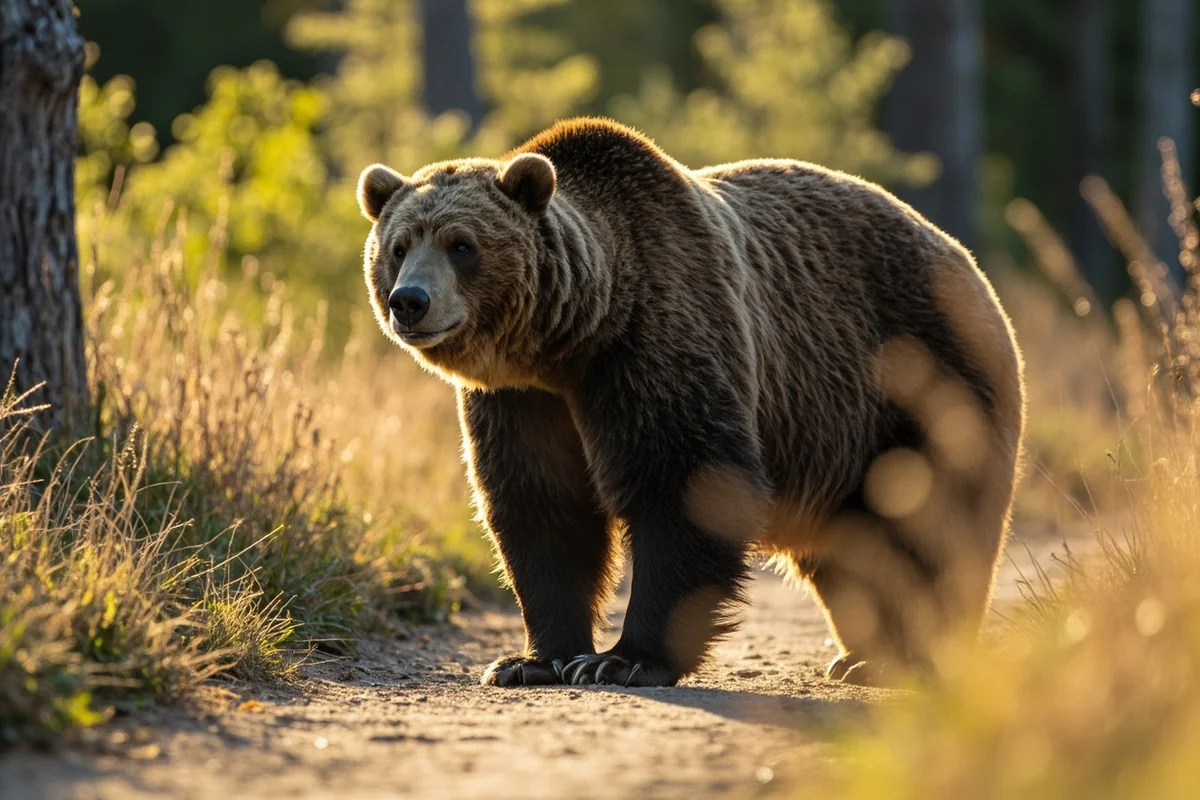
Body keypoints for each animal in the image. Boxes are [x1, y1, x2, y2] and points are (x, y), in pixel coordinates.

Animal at [356, 117, 1025, 688]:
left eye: (461, 244)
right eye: (399, 245)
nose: (409, 301)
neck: (575, 340)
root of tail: (970, 266)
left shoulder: (658, 338)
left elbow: (685, 482)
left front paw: (623, 660)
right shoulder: (524, 401)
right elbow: (541, 507)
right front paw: (530, 660)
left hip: (923, 380)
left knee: (936, 520)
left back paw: (908, 658)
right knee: (856, 550)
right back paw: (861, 655)